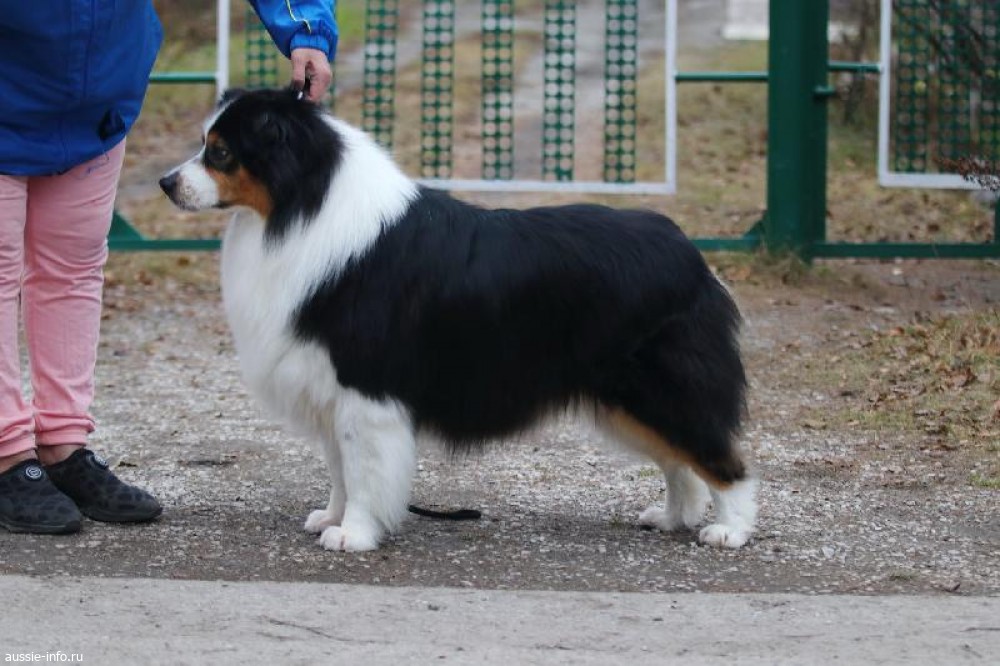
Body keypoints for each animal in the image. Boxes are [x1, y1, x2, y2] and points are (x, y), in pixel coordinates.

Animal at [159, 88, 757, 552]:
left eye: (220, 152)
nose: (166, 183)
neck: (302, 205)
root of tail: (688, 251)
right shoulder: (330, 387)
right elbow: (339, 468)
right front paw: (332, 516)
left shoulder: (365, 388)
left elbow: (363, 468)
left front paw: (354, 534)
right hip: (627, 400)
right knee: (680, 462)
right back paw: (672, 517)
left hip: (662, 386)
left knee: (722, 459)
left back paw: (729, 531)